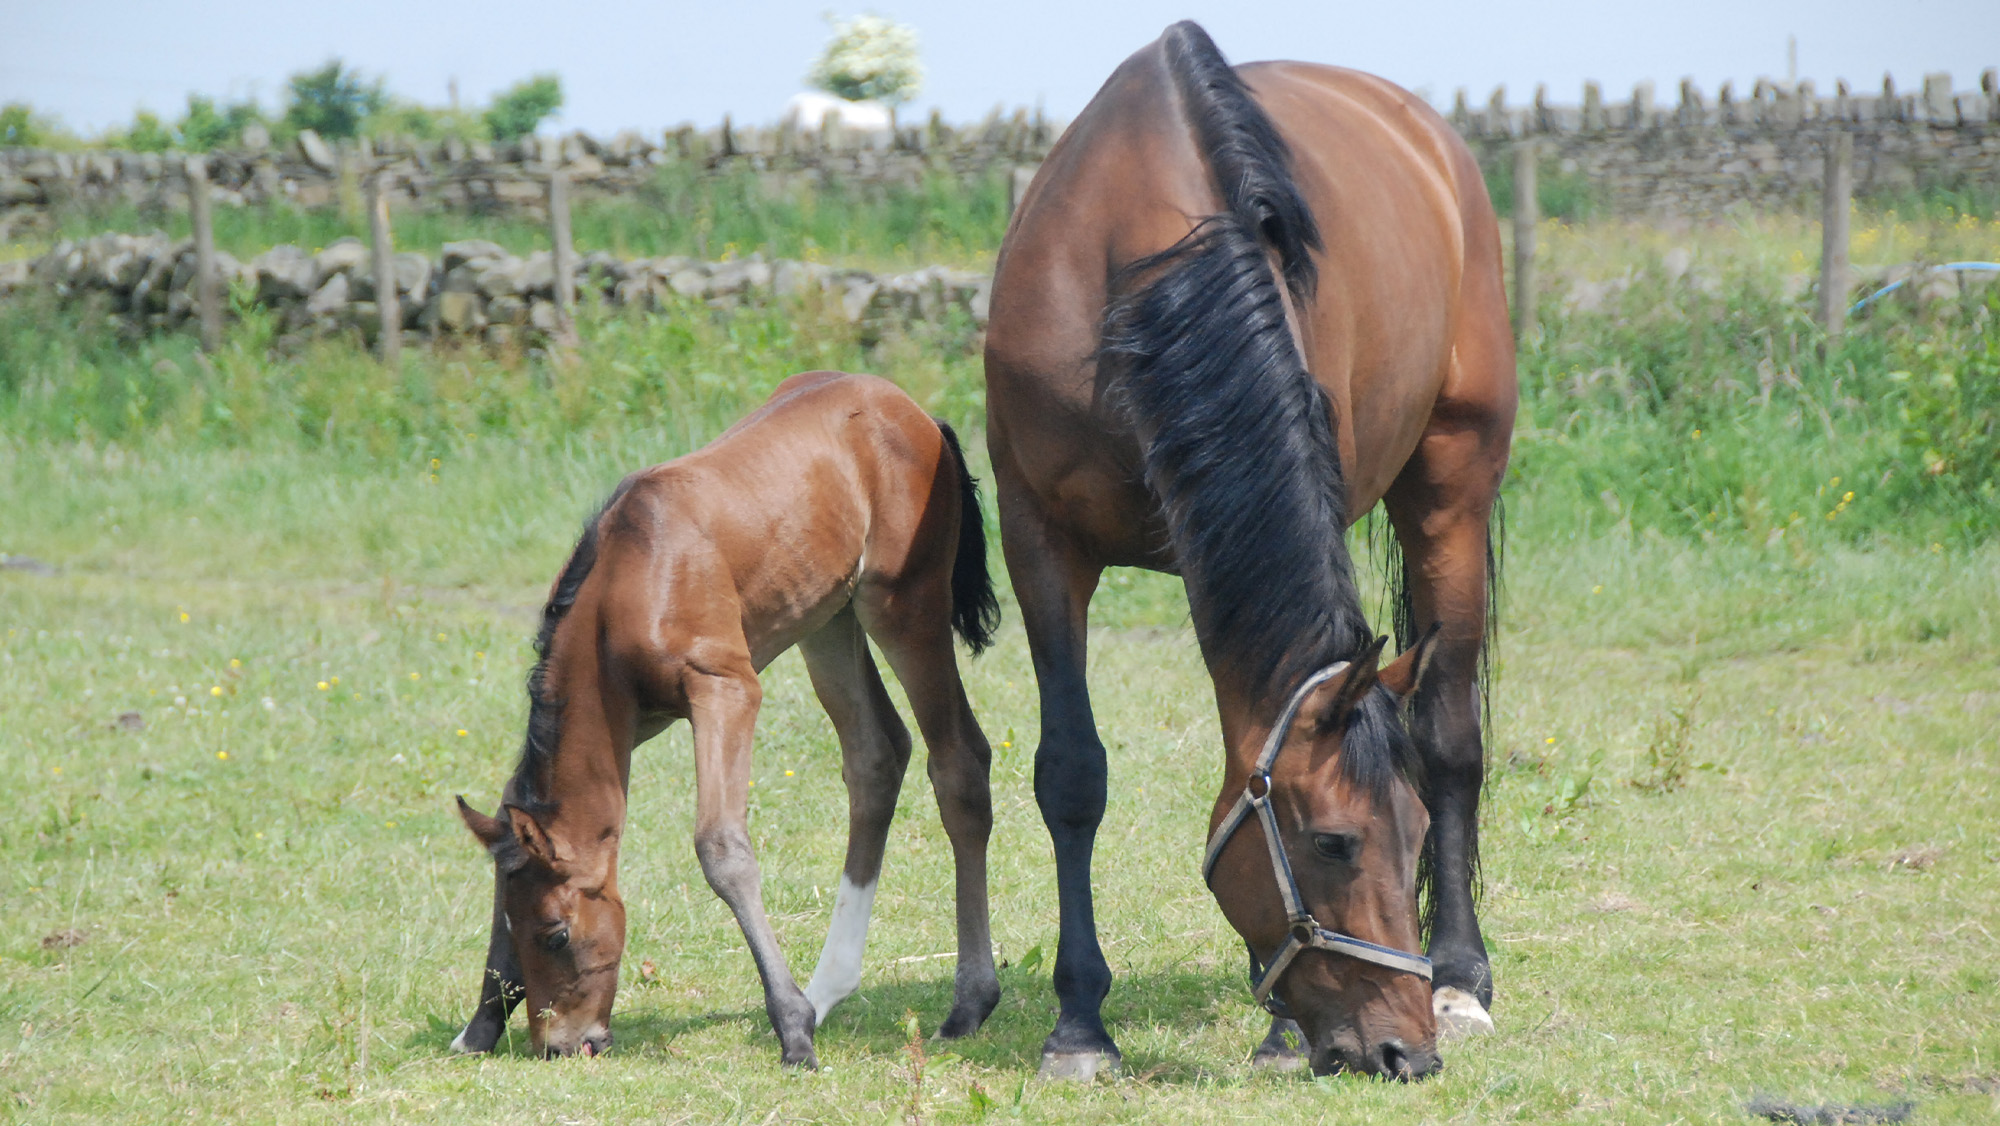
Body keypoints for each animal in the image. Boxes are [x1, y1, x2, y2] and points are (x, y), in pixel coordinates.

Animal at [449, 371, 1003, 1067]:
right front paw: (478, 1027)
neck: (625, 581)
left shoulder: (725, 688)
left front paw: (792, 1029)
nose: (563, 1045)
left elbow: (722, 848)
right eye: (512, 927)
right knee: (878, 754)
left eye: (556, 934)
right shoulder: (632, 720)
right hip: (826, 619)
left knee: (958, 760)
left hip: (904, 604)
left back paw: (965, 1004)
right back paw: (829, 989)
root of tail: (915, 411)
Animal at [984, 22, 1515, 1079]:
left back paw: (1460, 979)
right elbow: (1071, 773)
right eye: (1336, 843)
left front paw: (1279, 1034)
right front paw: (1079, 1024)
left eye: (1411, 837)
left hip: (1452, 490)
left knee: (1449, 737)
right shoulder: (1039, 541)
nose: (1405, 1052)